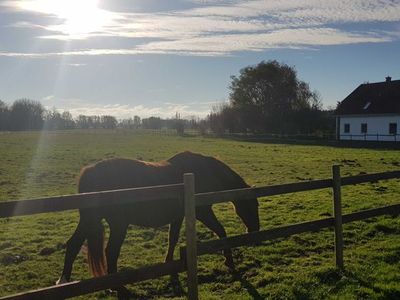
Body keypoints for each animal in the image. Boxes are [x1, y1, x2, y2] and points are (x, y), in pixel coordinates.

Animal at [55, 152, 260, 296]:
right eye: (253, 204)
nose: (255, 231)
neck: (202, 172)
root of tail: (90, 172)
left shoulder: (178, 217)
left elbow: (173, 239)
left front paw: (169, 266)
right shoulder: (202, 212)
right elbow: (221, 231)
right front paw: (229, 261)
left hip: (91, 220)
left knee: (74, 245)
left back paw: (64, 282)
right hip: (116, 224)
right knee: (110, 252)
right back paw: (117, 287)